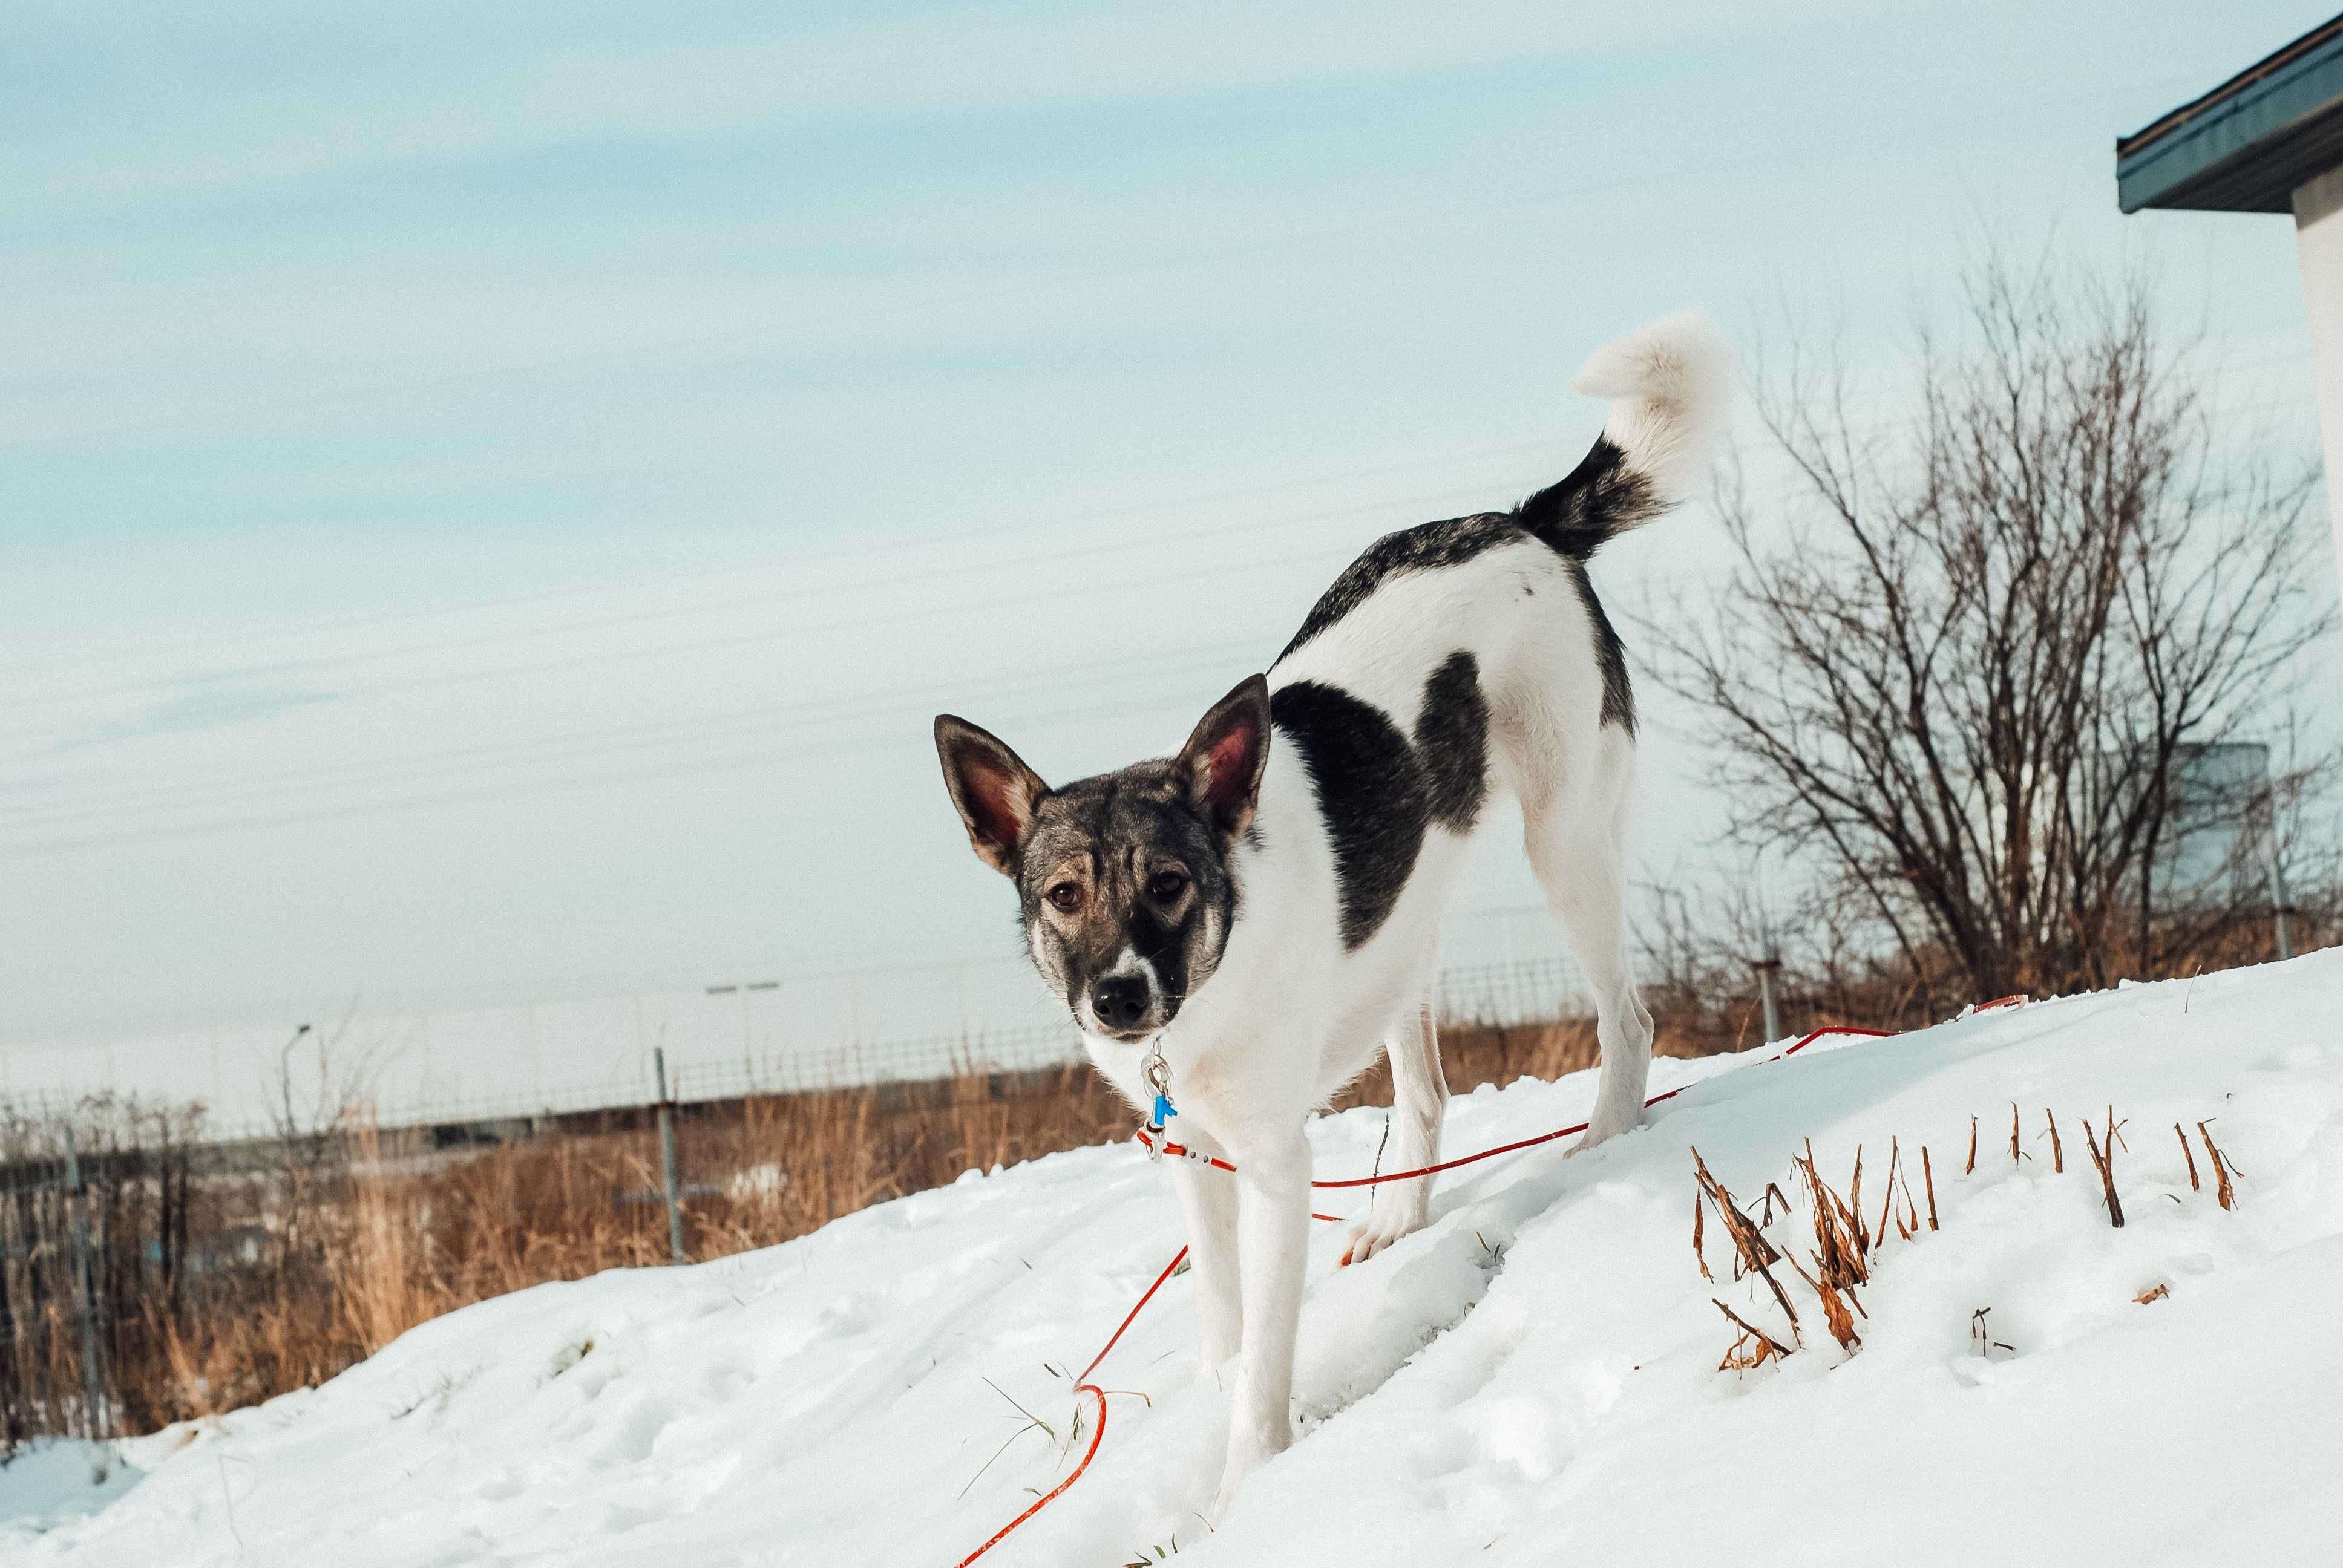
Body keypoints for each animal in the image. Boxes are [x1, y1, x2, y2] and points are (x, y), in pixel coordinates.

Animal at [932, 309, 1724, 1518]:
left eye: (1169, 884)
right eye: (1064, 895)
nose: (1118, 999)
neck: (1206, 993)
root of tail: (1524, 524)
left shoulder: (1270, 1166)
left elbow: (1266, 1356)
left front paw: (1248, 1480)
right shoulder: (1195, 1161)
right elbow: (1223, 1322)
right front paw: (1214, 1399)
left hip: (1567, 842)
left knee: (1626, 1019)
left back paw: (1601, 1142)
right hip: (1406, 939)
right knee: (1429, 1090)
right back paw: (1400, 1218)